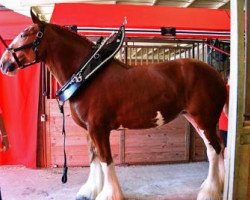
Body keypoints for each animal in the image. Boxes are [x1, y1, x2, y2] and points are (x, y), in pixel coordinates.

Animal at [0, 10, 227, 200]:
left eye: (25, 34)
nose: (4, 63)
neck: (87, 76)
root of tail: (216, 74)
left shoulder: (99, 129)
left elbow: (106, 160)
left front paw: (109, 194)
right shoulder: (88, 130)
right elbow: (94, 158)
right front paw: (90, 191)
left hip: (204, 119)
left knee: (214, 150)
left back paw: (209, 192)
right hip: (196, 119)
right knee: (216, 149)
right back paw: (219, 186)